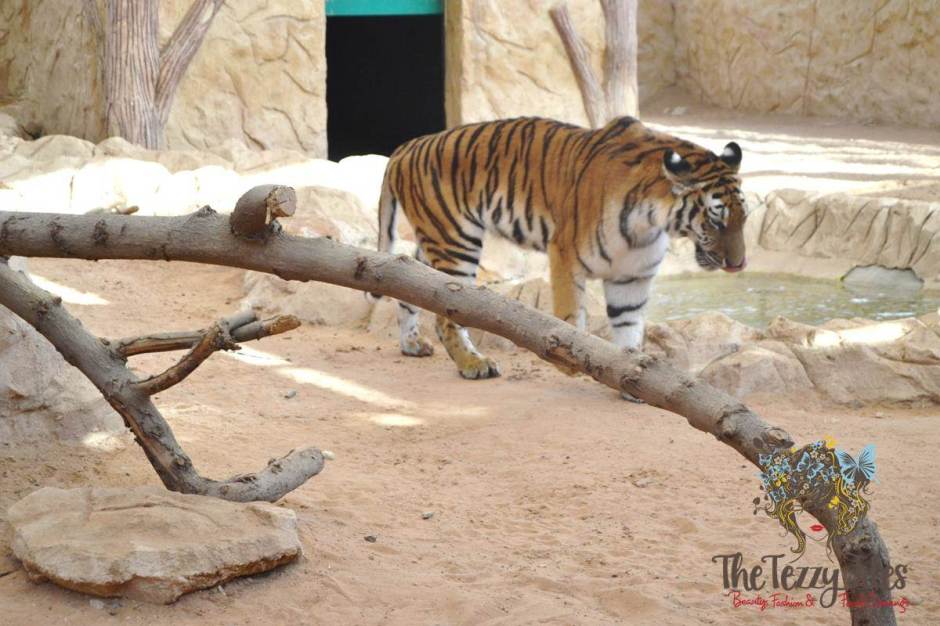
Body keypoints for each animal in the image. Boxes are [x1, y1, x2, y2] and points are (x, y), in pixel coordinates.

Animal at [373, 115, 747, 382]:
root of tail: (408, 146)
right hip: (456, 241)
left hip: (434, 242)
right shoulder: (566, 255)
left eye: (743, 219)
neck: (651, 222)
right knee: (446, 313)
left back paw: (412, 344)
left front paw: (632, 375)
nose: (738, 265)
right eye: (717, 220)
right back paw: (472, 363)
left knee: (411, 287)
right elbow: (571, 318)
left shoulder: (632, 276)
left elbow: (629, 326)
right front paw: (573, 362)